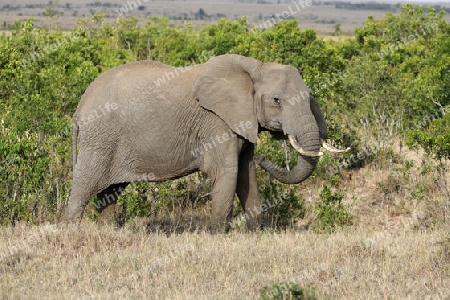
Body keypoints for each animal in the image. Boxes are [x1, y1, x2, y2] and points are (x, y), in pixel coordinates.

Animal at [62, 54, 348, 231]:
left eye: (309, 97)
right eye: (276, 100)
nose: (266, 158)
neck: (255, 69)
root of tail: (80, 107)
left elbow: (246, 174)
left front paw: (257, 233)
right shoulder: (216, 122)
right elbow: (226, 172)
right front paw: (217, 236)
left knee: (110, 193)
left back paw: (106, 233)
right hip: (100, 138)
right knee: (85, 186)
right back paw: (70, 234)